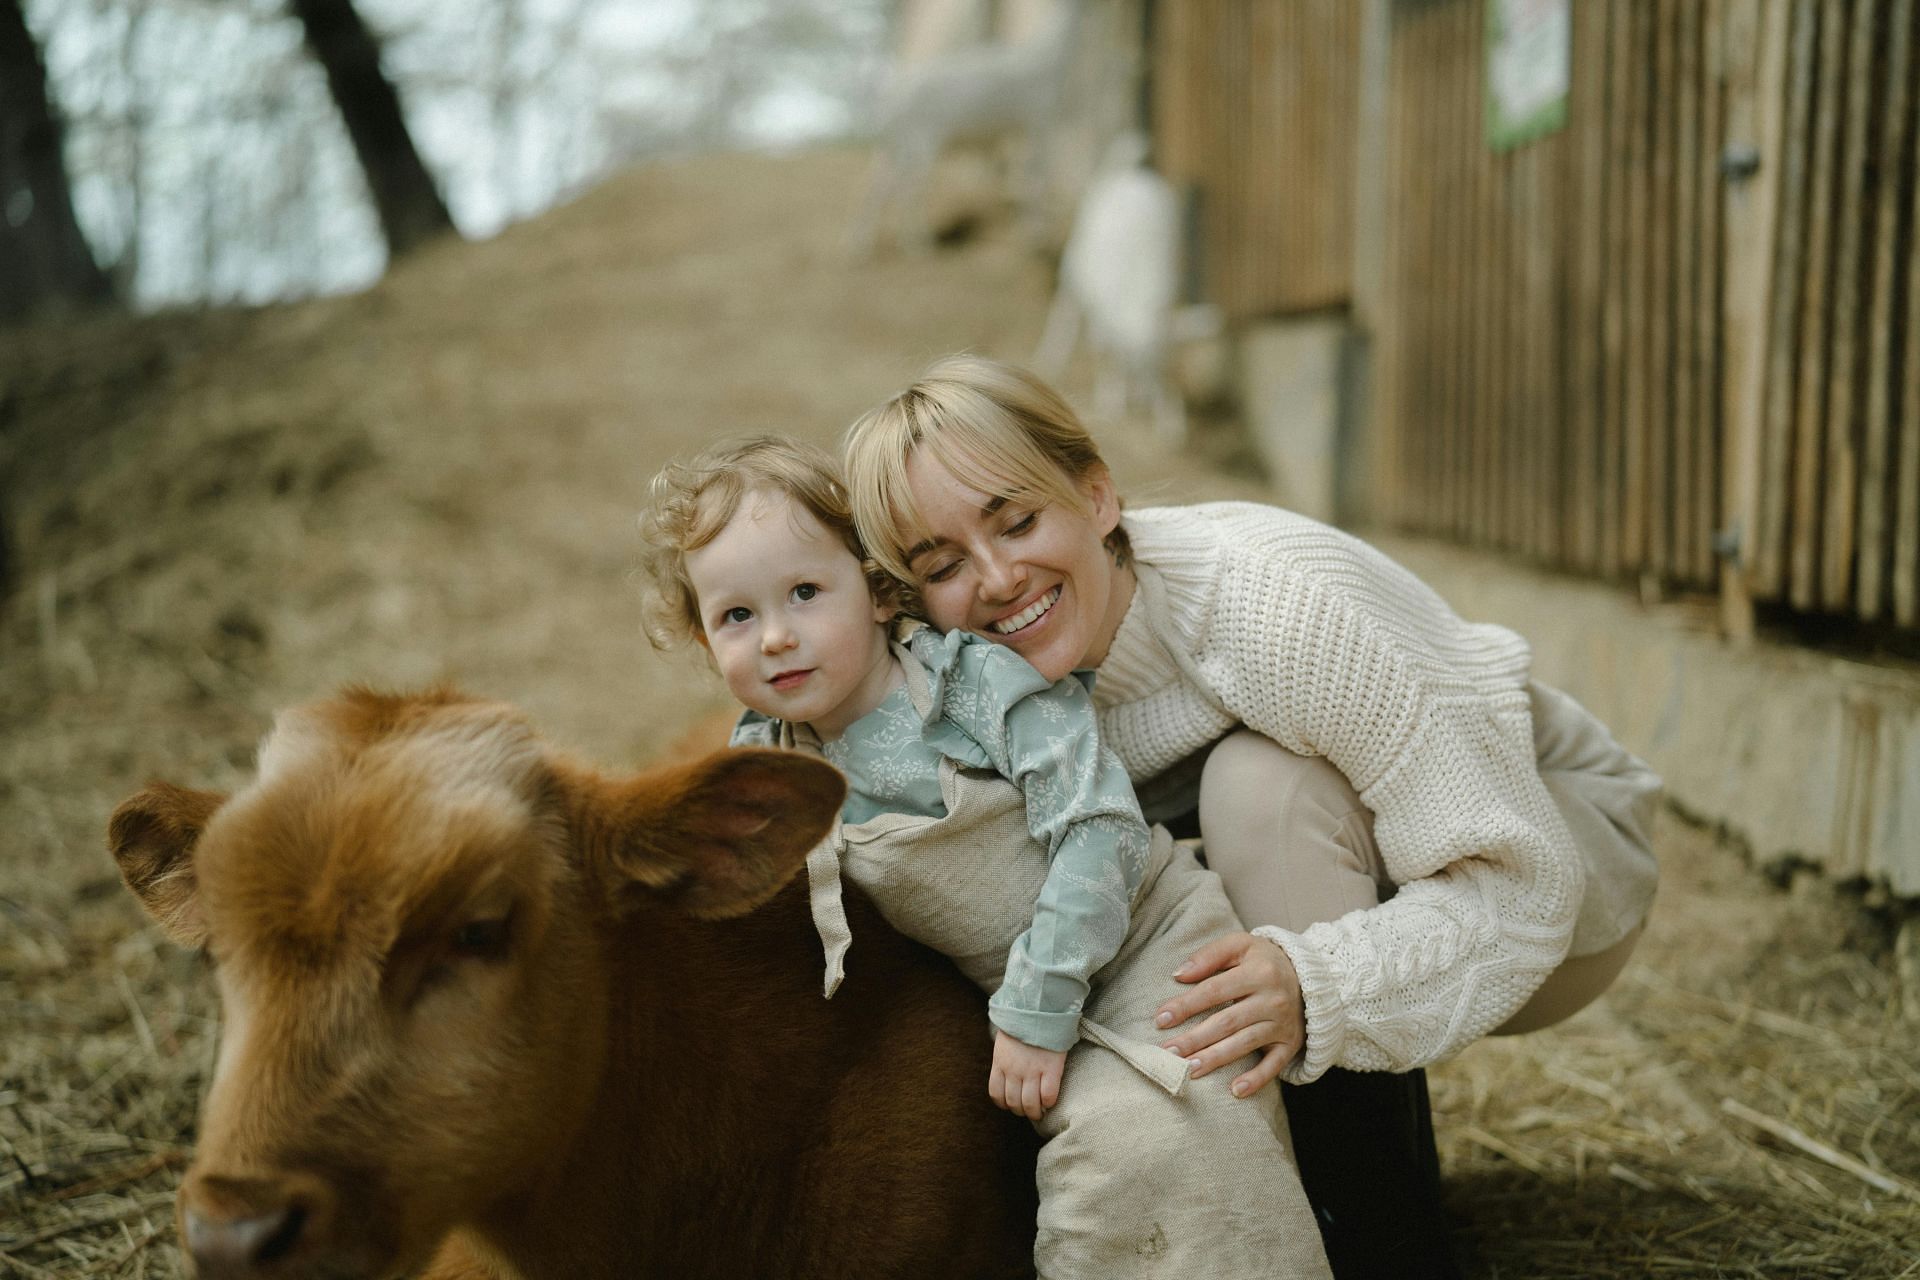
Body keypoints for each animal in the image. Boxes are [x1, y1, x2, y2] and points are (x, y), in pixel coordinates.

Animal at [852, 0, 1082, 257]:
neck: (1049, 58)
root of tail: (887, 102)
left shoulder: (1020, 129)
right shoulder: (1039, 121)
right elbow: (1037, 174)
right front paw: (1037, 237)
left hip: (896, 148)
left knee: (879, 187)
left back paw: (860, 246)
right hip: (922, 144)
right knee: (906, 190)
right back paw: (918, 244)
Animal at [1036, 134, 1182, 445]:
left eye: (1159, 364)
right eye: (1137, 363)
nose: (1144, 397)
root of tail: (1126, 172)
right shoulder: (1105, 320)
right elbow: (1104, 355)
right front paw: (1111, 402)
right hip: (1076, 262)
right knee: (1065, 310)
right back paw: (1051, 356)